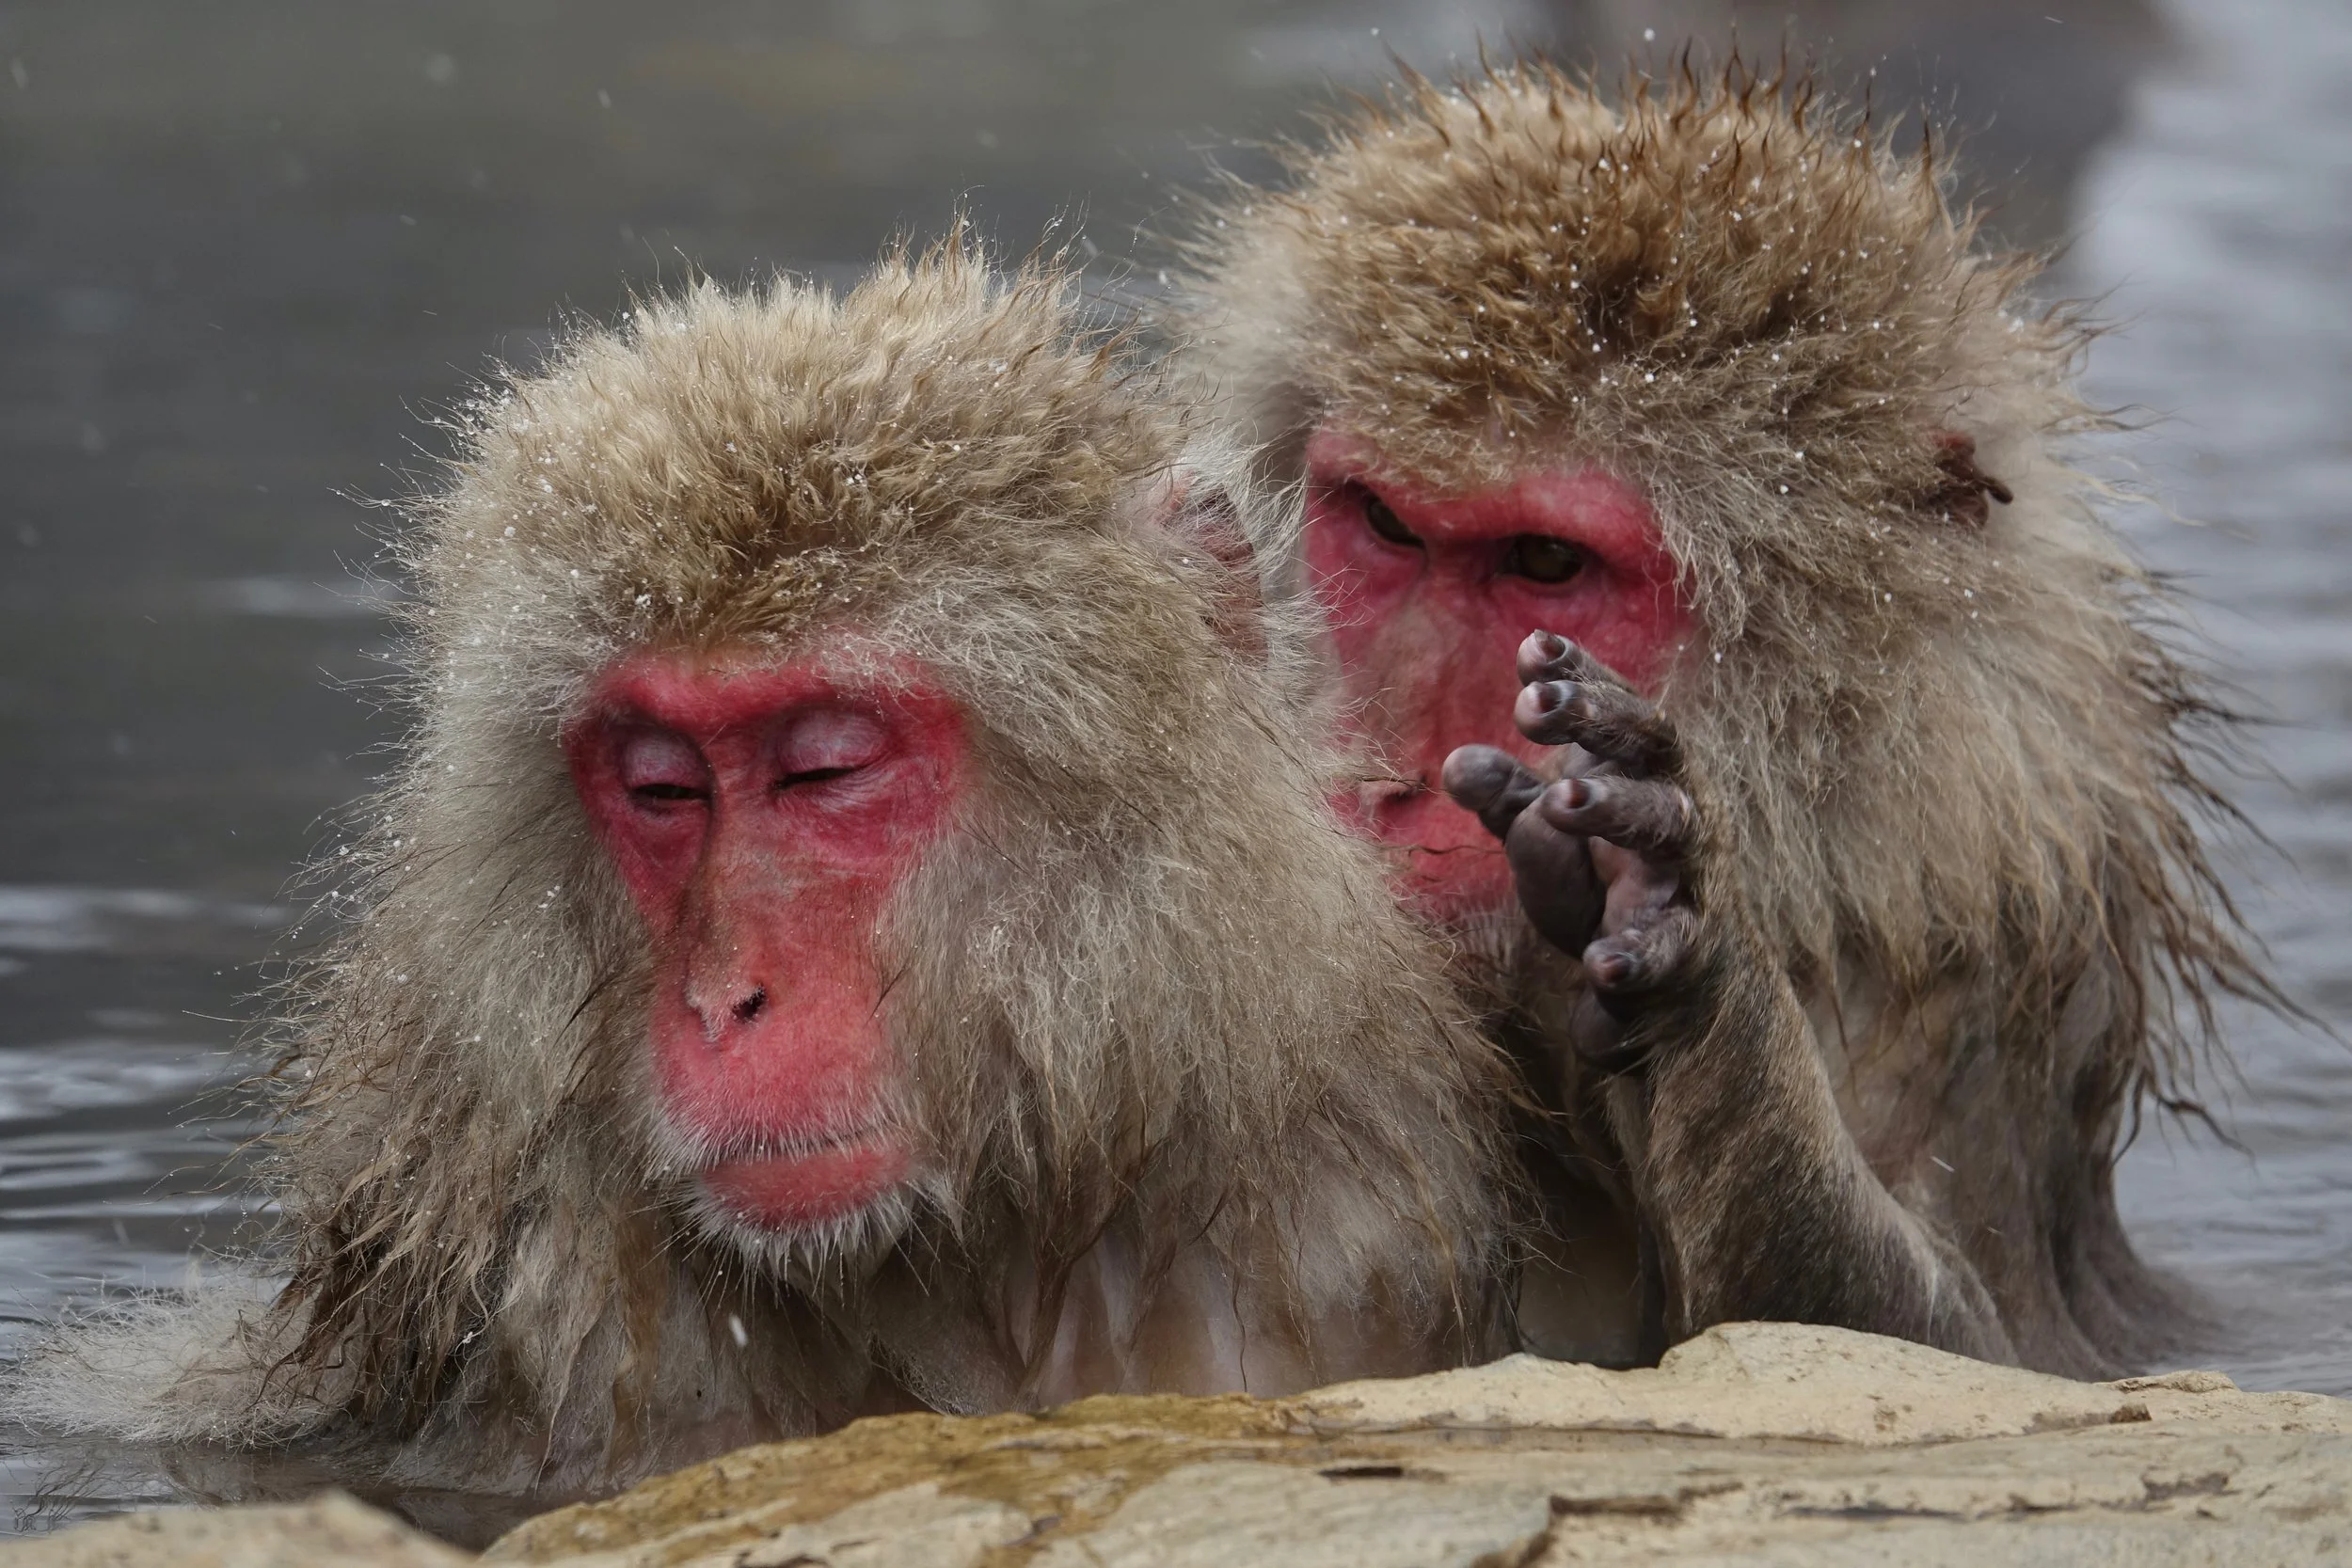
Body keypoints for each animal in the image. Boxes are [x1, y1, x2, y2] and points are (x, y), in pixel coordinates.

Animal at [1175, 58, 2276, 1379]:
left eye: (1546, 560)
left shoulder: (1944, 954)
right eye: (1387, 524)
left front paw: (1687, 961)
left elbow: (1946, 1335)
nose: (1386, 774)